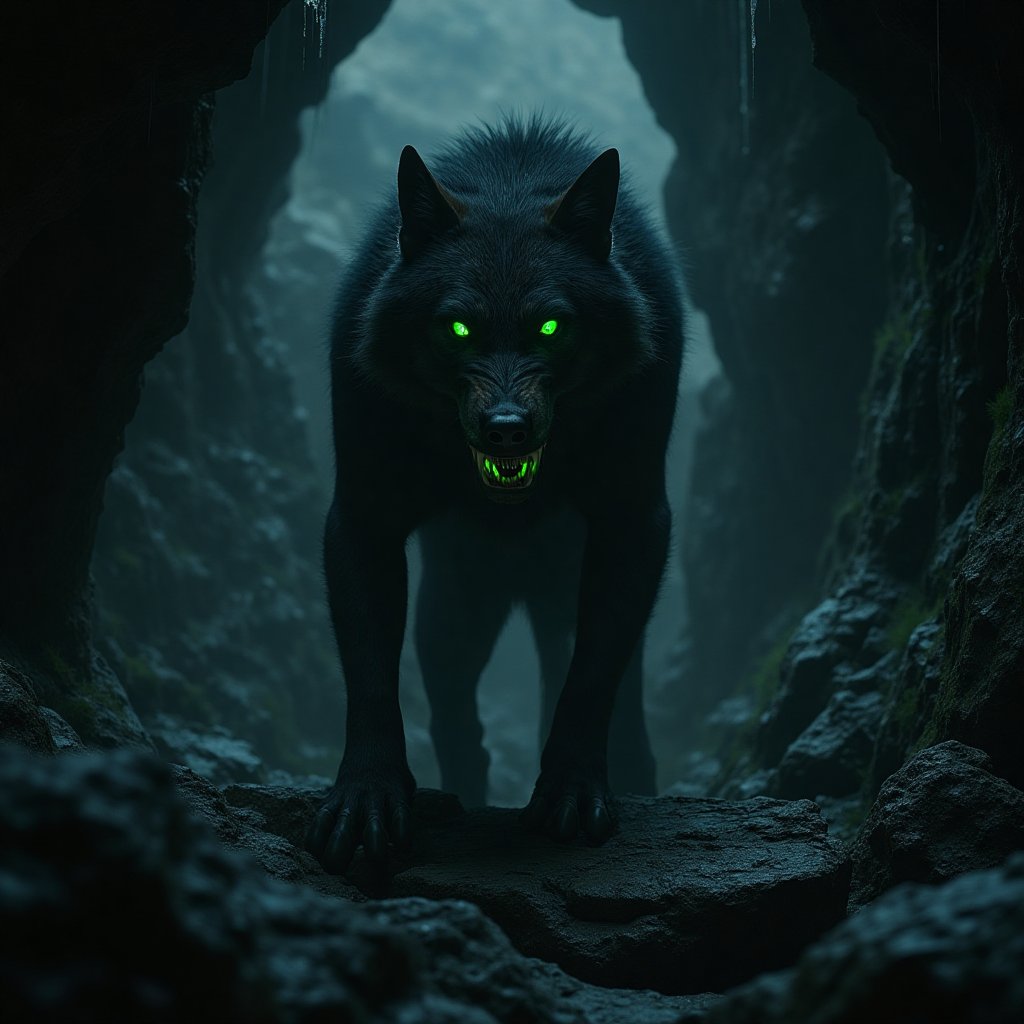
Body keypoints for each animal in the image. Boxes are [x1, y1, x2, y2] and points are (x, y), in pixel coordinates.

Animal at [306, 117, 683, 873]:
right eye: (457, 328)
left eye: (551, 327)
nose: (506, 427)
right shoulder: (364, 516)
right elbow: (370, 675)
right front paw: (367, 799)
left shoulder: (634, 520)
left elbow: (589, 681)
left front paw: (572, 792)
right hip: (453, 616)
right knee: (457, 720)